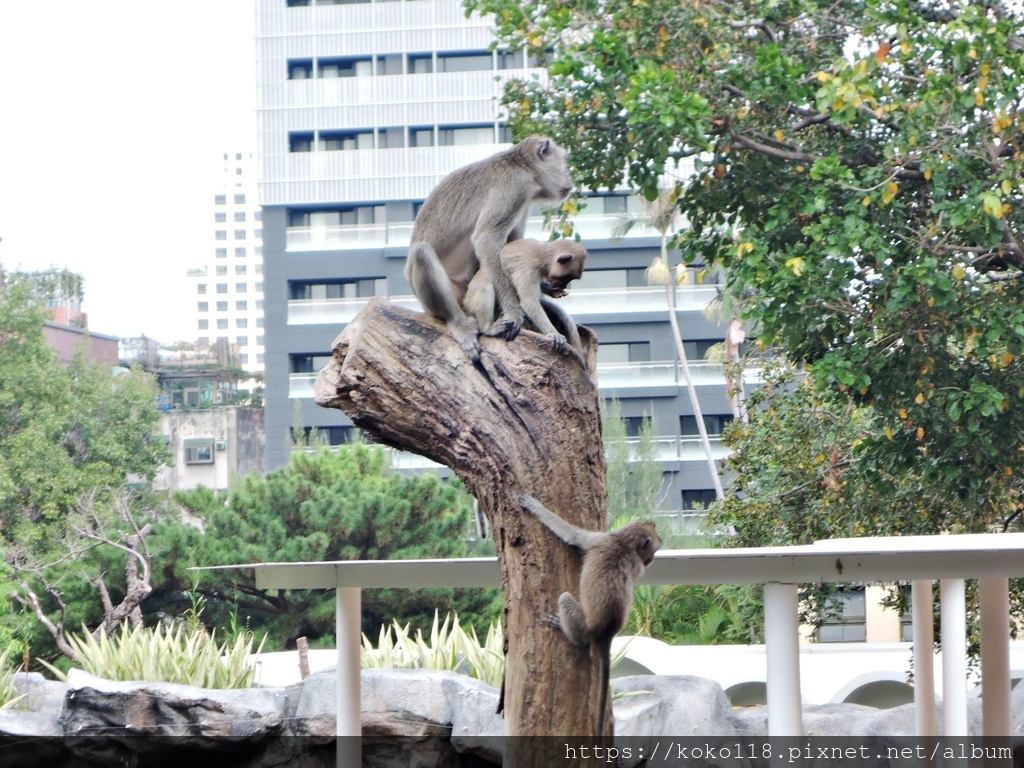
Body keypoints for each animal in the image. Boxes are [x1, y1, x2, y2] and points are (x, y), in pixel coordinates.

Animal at [401, 137, 577, 362]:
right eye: (563, 162)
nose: (569, 180)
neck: (520, 165)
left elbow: (513, 248)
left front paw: (545, 287)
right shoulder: (516, 187)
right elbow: (486, 240)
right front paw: (514, 314)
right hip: (439, 300)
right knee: (422, 252)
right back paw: (460, 323)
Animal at [520, 495, 663, 737]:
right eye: (653, 550)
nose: (652, 560)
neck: (623, 543)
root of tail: (607, 632)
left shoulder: (598, 540)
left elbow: (571, 535)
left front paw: (534, 507)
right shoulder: (631, 561)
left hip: (582, 624)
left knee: (566, 602)